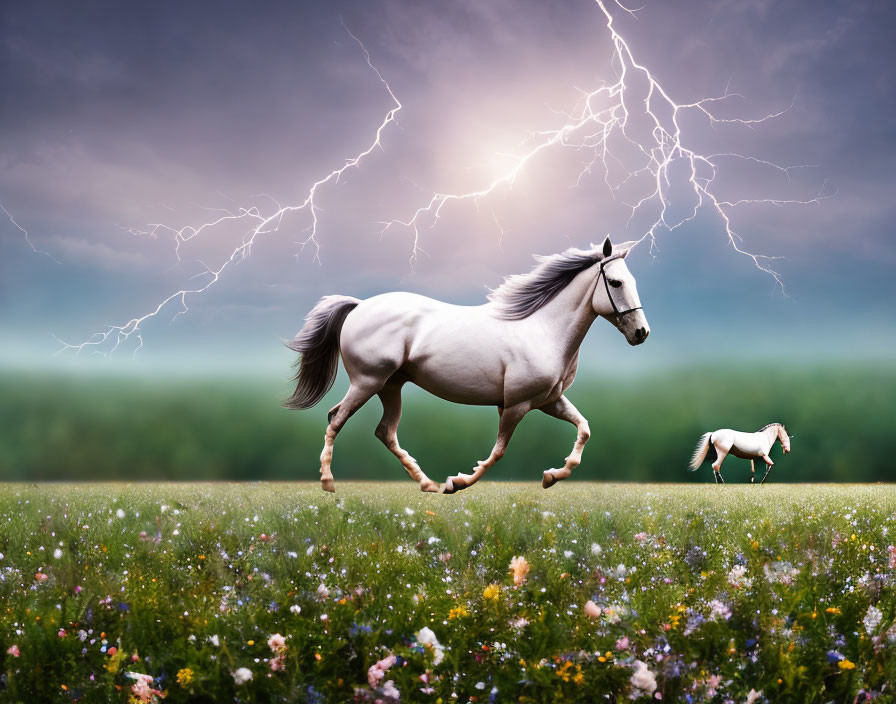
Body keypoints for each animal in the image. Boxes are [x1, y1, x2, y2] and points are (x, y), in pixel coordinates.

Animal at [288, 239, 652, 492]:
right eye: (616, 283)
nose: (641, 333)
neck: (543, 329)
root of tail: (359, 306)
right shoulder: (516, 404)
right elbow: (498, 452)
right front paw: (458, 482)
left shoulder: (548, 401)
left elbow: (584, 429)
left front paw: (552, 476)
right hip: (368, 381)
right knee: (337, 418)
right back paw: (328, 483)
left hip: (391, 385)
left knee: (385, 432)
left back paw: (427, 483)